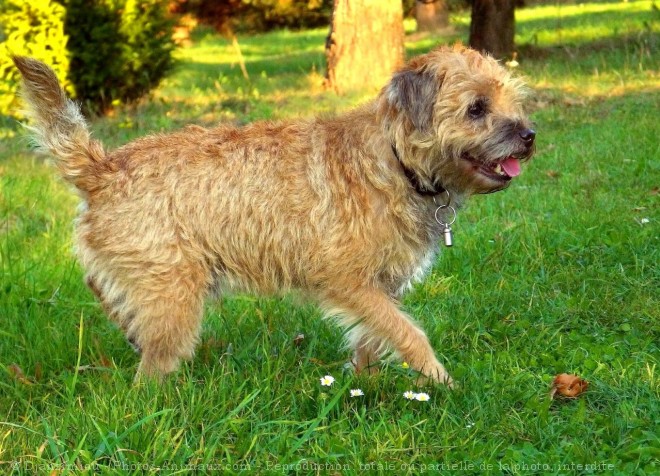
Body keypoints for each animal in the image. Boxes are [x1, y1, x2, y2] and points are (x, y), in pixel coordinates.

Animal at [12, 46, 532, 384]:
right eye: (476, 108)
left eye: (513, 100)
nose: (529, 135)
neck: (395, 158)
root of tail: (101, 167)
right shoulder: (348, 281)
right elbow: (408, 332)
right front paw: (440, 382)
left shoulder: (379, 287)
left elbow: (375, 336)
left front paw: (364, 384)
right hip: (174, 294)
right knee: (150, 373)